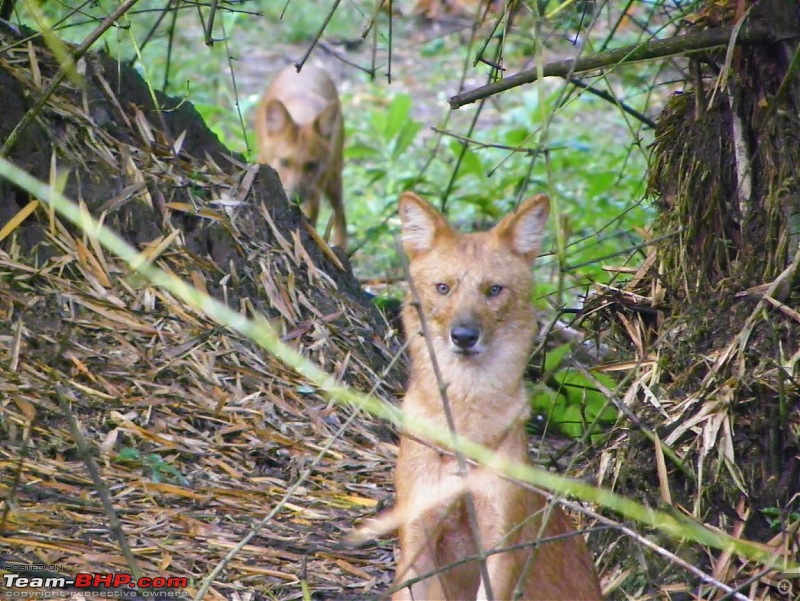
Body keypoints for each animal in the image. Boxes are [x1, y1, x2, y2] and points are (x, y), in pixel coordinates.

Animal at [255, 62, 346, 246]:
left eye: (312, 165)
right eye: (284, 162)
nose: (295, 198)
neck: (301, 112)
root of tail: (311, 66)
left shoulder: (314, 192)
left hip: (334, 178)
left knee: (340, 213)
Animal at [394, 192, 600, 600]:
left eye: (493, 290)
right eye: (443, 288)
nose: (464, 335)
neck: (465, 424)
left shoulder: (501, 543)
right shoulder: (416, 539)